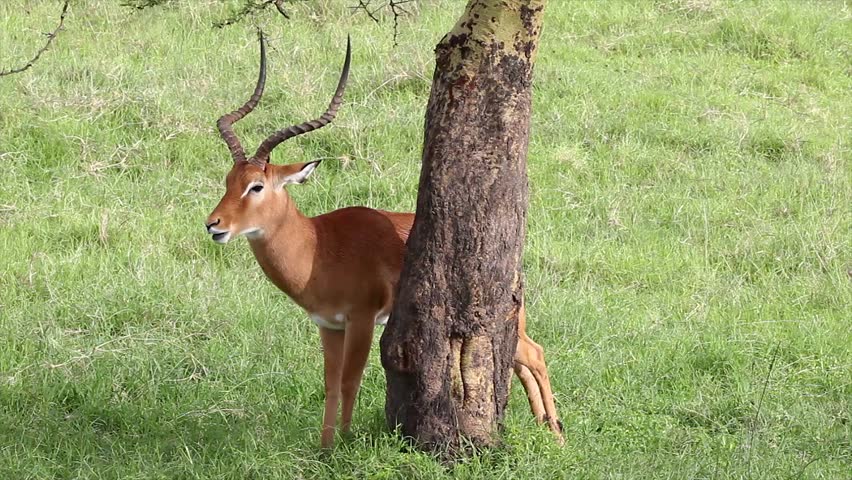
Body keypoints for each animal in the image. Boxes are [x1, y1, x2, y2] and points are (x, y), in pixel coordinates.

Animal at [205, 33, 563, 448]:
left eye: (257, 186)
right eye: (229, 181)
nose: (214, 225)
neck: (318, 247)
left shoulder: (360, 319)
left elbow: (350, 382)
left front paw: (344, 443)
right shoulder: (328, 325)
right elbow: (330, 385)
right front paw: (325, 448)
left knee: (536, 354)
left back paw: (557, 435)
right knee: (525, 361)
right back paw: (548, 429)